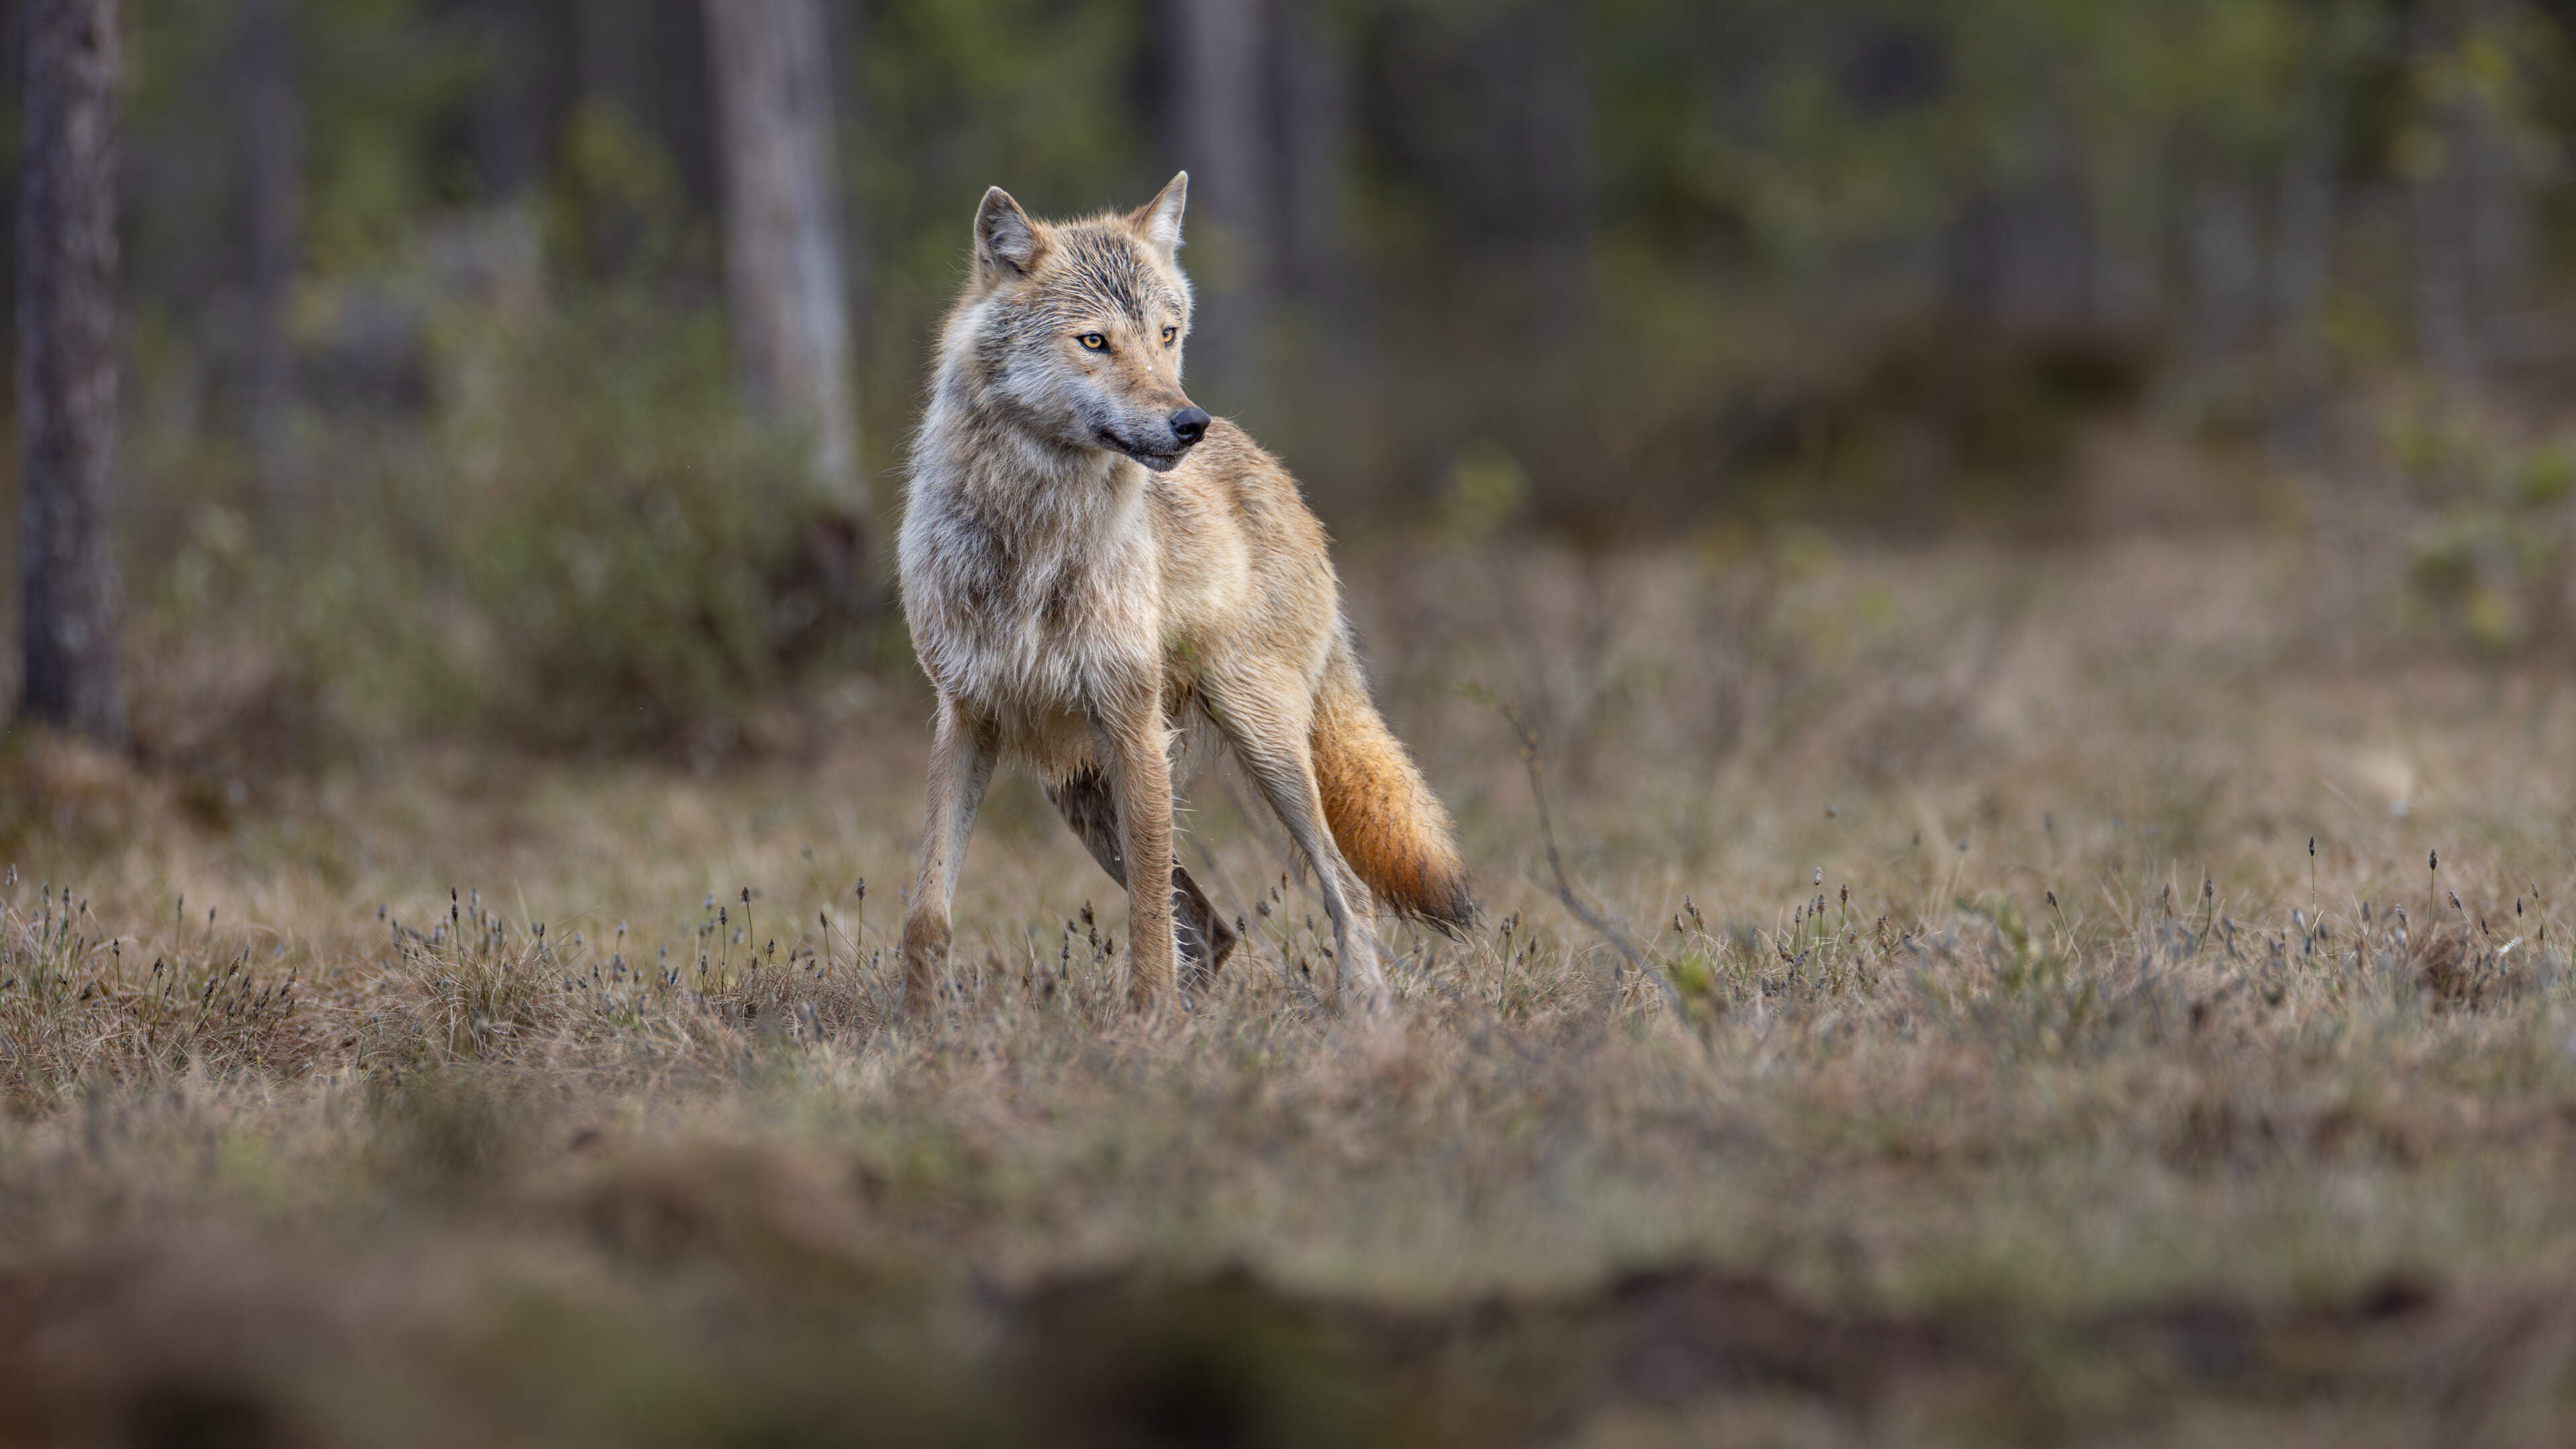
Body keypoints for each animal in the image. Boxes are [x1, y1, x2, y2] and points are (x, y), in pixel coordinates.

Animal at [897, 172, 1471, 1015]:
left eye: (1167, 335)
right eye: (1095, 342)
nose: (1187, 422)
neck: (1032, 537)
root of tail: (1274, 469)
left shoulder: (1134, 727)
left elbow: (1144, 918)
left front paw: (1148, 1026)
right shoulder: (964, 719)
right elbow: (928, 912)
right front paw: (922, 1028)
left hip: (1263, 743)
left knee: (1345, 889)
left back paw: (1363, 1018)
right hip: (1082, 794)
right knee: (1211, 925)